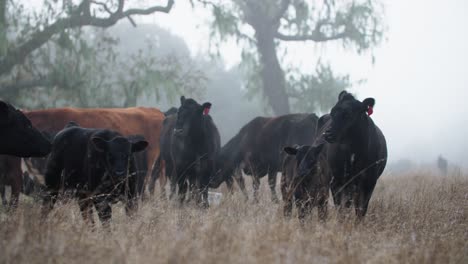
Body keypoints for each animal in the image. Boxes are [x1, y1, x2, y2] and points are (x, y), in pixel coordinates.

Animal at [318, 92, 388, 220]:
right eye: (332, 112)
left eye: (348, 114)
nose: (327, 134)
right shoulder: (336, 181)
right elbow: (340, 208)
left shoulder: (369, 181)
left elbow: (361, 209)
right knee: (323, 200)